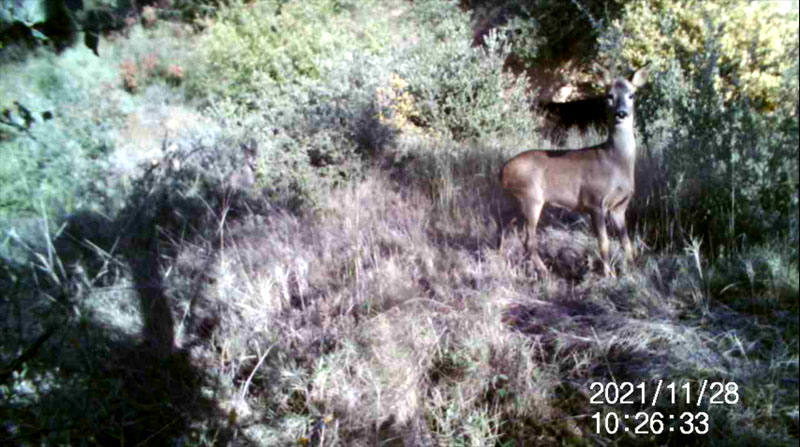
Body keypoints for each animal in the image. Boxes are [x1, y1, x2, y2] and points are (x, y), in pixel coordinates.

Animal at [500, 64, 648, 276]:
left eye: (632, 95)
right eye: (609, 95)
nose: (621, 113)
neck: (616, 162)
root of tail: (503, 171)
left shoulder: (620, 206)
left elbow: (626, 241)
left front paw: (632, 269)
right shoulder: (595, 201)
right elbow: (603, 243)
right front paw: (609, 274)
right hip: (530, 197)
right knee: (529, 240)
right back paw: (545, 272)